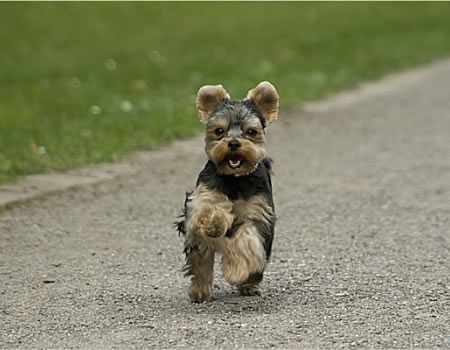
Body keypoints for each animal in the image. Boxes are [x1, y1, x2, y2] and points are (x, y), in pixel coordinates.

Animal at [175, 80, 278, 302]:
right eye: (219, 131)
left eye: (251, 132)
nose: (233, 143)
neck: (234, 179)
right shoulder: (200, 198)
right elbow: (207, 209)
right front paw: (215, 222)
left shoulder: (257, 214)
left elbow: (246, 241)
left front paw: (237, 271)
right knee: (201, 259)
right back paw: (200, 290)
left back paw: (249, 285)